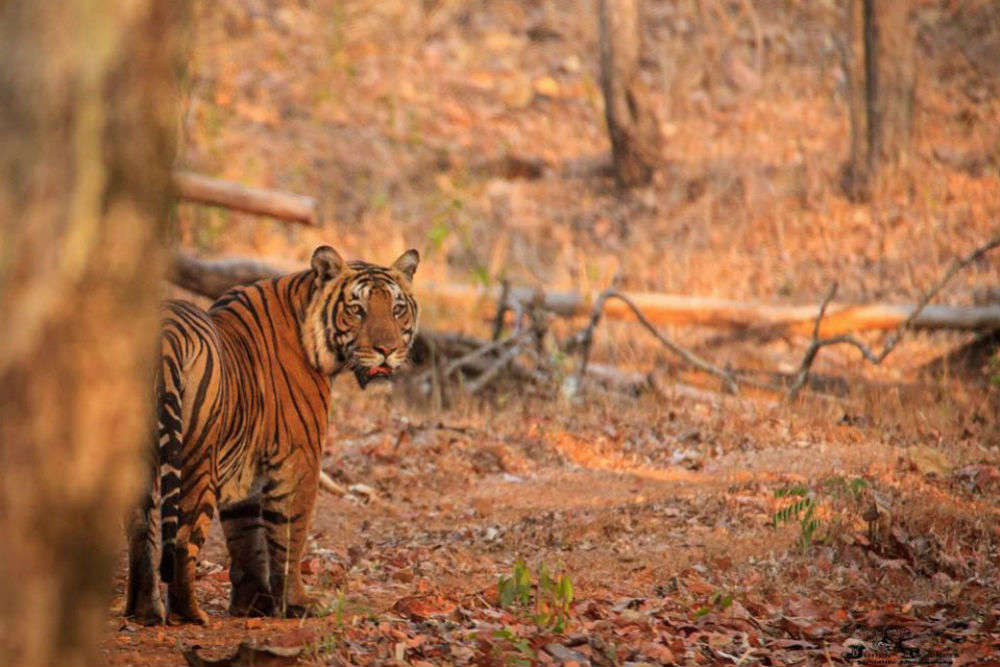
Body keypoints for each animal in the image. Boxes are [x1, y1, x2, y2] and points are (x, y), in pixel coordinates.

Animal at [126, 247, 422, 628]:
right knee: (182, 539)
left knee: (141, 534)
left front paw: (253, 604)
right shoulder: (300, 457)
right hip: (196, 461)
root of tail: (164, 336)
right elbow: (290, 534)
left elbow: (246, 536)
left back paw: (145, 611)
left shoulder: (247, 468)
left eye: (397, 309)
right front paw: (297, 603)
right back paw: (189, 613)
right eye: (358, 310)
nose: (387, 349)